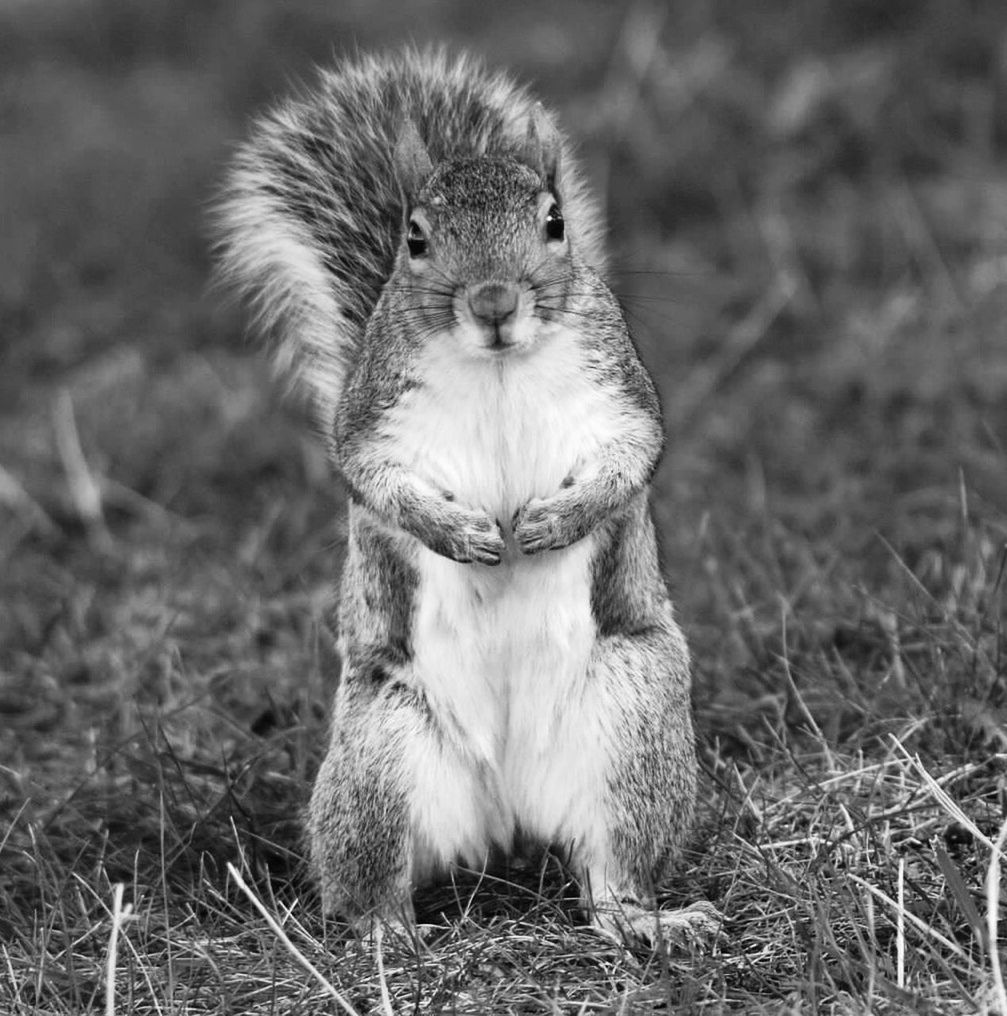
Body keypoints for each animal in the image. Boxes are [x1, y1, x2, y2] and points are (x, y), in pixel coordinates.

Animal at [214, 47, 715, 946]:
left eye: (555, 223)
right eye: (414, 238)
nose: (492, 302)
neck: (499, 369)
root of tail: (509, 816)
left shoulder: (624, 401)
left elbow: (631, 460)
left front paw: (554, 520)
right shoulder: (370, 423)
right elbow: (373, 481)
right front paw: (458, 533)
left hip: (634, 726)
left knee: (611, 872)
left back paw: (647, 922)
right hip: (379, 758)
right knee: (370, 879)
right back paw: (386, 934)